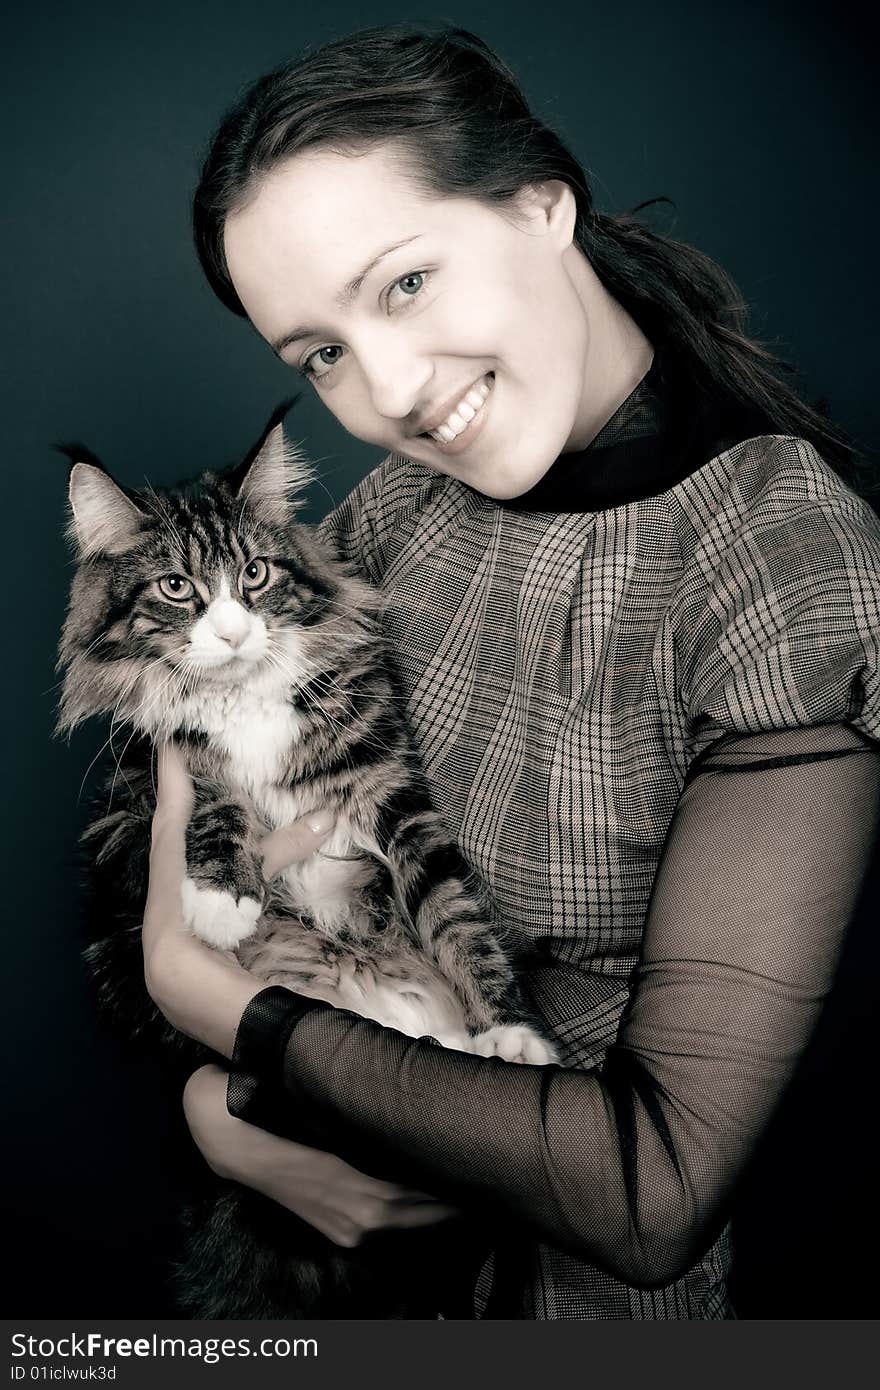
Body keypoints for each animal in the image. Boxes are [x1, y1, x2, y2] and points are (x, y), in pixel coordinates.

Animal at [58, 405, 556, 1317]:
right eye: (176, 587)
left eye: (254, 574)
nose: (230, 630)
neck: (247, 702)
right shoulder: (155, 775)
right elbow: (213, 802)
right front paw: (221, 899)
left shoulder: (390, 789)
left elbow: (455, 914)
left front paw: (510, 1032)